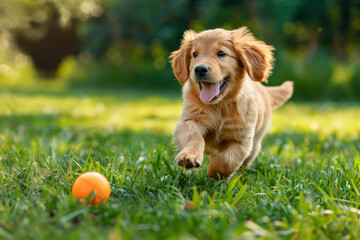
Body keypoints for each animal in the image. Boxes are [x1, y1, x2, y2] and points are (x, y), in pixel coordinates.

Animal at [170, 27, 294, 179]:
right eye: (194, 54)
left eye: (221, 53)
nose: (199, 69)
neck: (220, 105)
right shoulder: (188, 120)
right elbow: (193, 137)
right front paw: (189, 157)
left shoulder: (243, 139)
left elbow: (228, 160)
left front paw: (214, 173)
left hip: (256, 144)